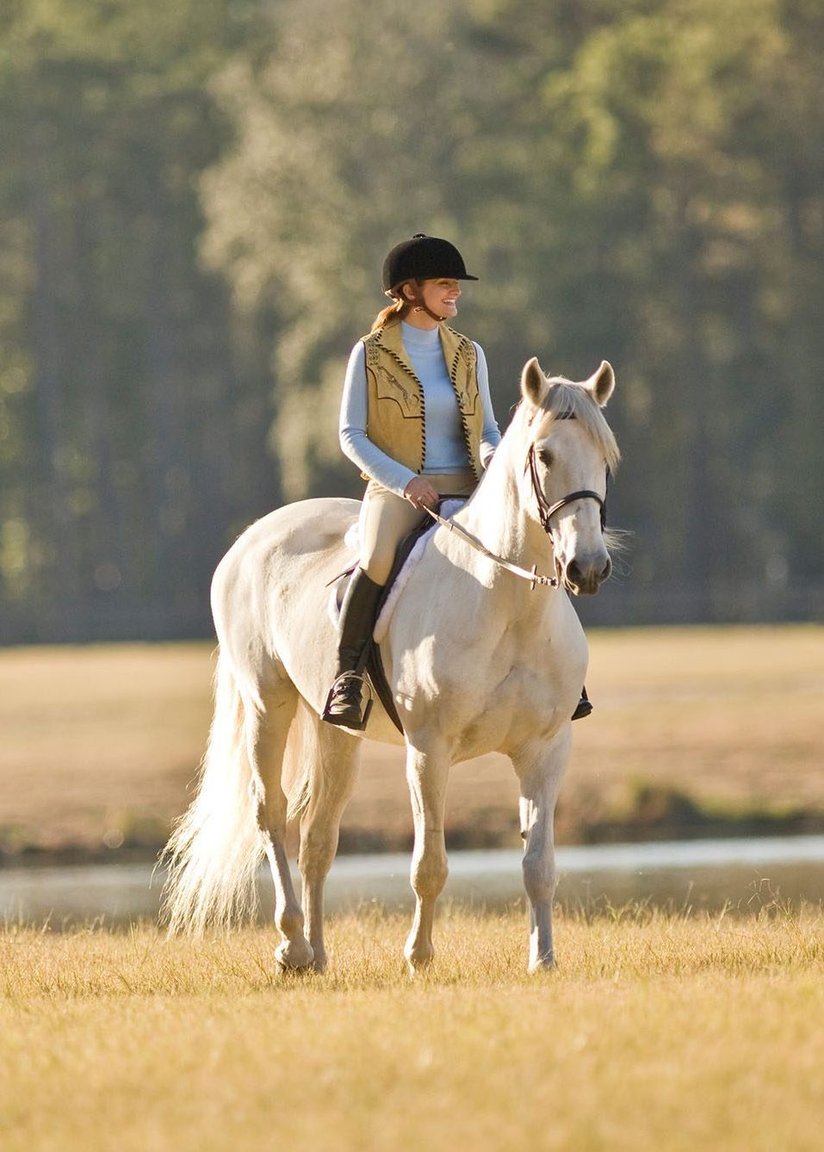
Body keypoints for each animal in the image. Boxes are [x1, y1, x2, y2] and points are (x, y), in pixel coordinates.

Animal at [161, 356, 620, 973]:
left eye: (605, 456)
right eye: (544, 455)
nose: (587, 568)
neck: (506, 604)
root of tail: (250, 539)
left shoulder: (544, 751)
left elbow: (539, 867)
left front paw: (542, 960)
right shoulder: (429, 750)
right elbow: (429, 864)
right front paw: (419, 956)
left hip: (335, 732)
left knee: (318, 838)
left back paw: (318, 955)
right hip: (267, 705)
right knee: (272, 815)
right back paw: (293, 944)